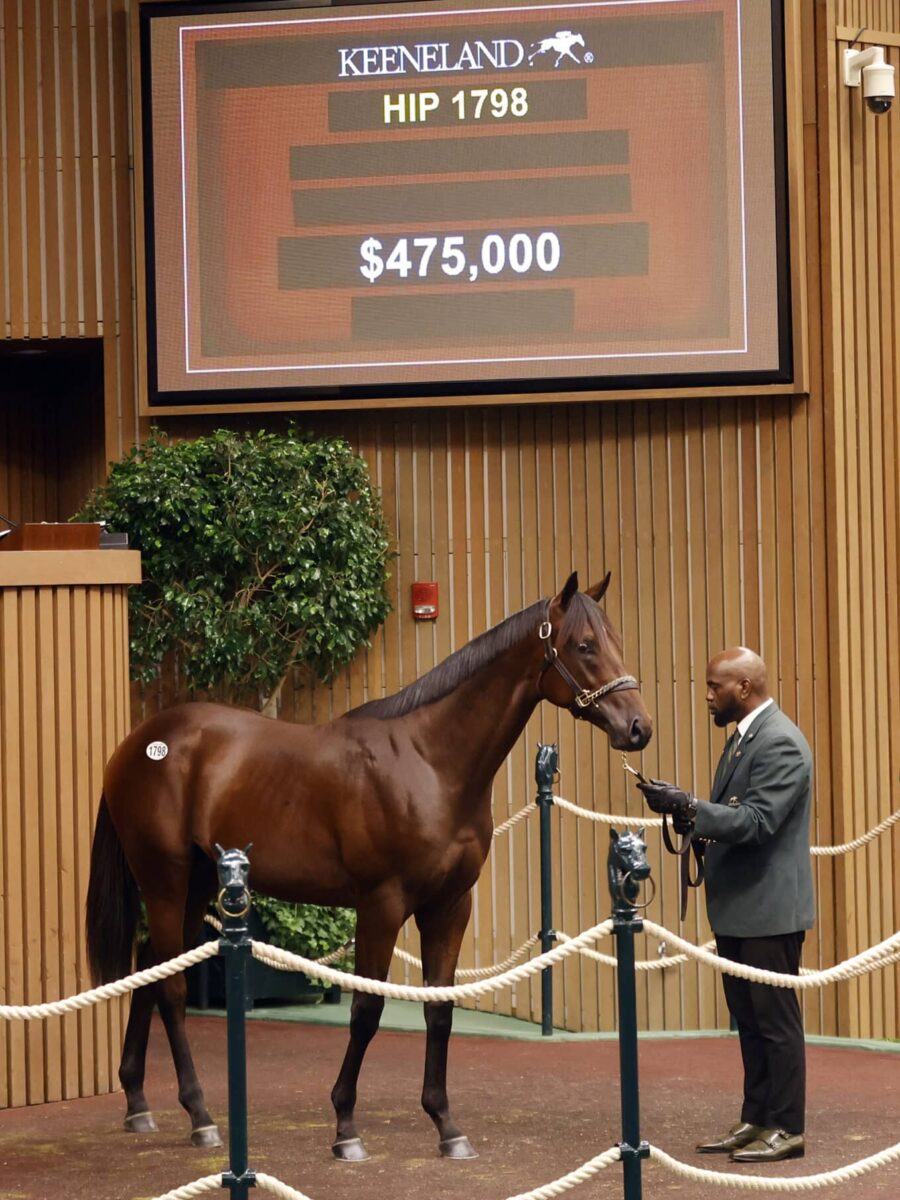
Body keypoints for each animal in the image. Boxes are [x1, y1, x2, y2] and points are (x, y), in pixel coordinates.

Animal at [86, 576, 648, 1156]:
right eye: (585, 645)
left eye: (614, 640)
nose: (638, 727)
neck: (430, 762)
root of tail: (137, 743)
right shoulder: (381, 904)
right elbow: (367, 1009)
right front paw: (345, 1126)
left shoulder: (450, 906)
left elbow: (439, 1008)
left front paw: (446, 1126)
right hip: (165, 880)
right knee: (170, 988)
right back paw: (200, 1116)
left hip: (196, 883)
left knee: (151, 969)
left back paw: (138, 1102)